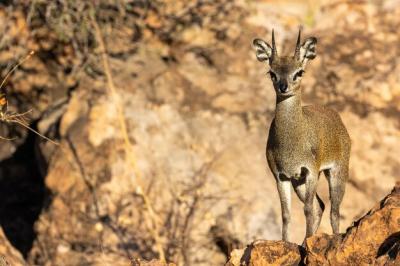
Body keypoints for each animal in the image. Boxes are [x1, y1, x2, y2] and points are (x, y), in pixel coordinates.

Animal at [253, 30, 350, 242]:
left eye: (299, 72)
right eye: (272, 73)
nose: (283, 87)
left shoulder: (310, 171)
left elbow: (306, 209)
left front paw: (306, 242)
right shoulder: (282, 176)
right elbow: (286, 214)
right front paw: (287, 242)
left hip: (337, 171)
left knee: (334, 210)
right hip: (299, 182)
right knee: (320, 205)